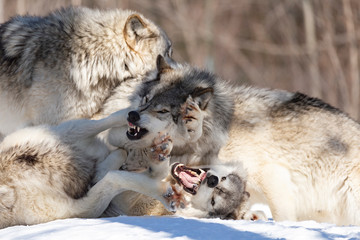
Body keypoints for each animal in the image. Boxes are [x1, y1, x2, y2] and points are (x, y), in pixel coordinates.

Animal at [0, 108, 176, 228]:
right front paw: (165, 194)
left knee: (105, 122)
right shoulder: (81, 209)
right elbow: (116, 178)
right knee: (127, 161)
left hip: (68, 131)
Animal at [109, 55, 360, 226]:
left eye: (161, 111)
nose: (132, 115)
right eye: (145, 100)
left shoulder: (273, 177)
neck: (215, 135)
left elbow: (282, 217)